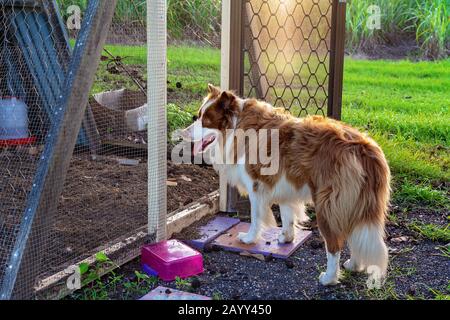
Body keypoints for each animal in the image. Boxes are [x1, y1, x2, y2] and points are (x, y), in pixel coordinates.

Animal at [180, 84, 390, 284]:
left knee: (334, 244)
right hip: (356, 202)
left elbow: (256, 217)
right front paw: (286, 238)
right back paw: (354, 265)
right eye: (198, 115)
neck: (236, 124)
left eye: (206, 121)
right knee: (355, 234)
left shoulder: (256, 186)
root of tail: (362, 146)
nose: (182, 133)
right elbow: (287, 214)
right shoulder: (285, 186)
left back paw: (329, 278)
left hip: (328, 205)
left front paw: (249, 239)